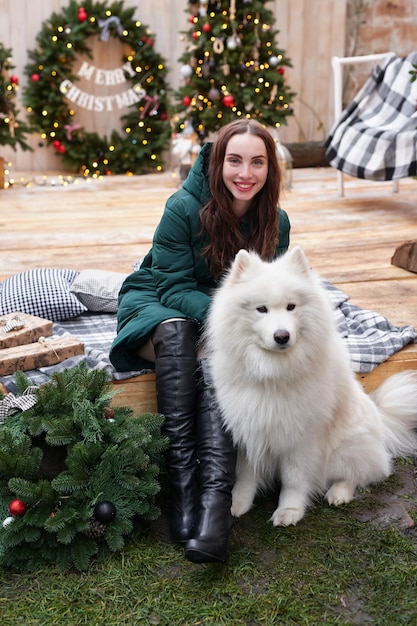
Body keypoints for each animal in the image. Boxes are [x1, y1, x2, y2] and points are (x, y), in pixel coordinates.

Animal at [204, 246, 416, 524]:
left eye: (291, 306)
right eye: (261, 309)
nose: (282, 336)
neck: (273, 372)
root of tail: (381, 421)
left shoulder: (301, 438)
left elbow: (293, 480)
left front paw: (289, 511)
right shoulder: (250, 430)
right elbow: (246, 475)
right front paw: (237, 503)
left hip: (346, 447)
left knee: (362, 472)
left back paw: (339, 493)